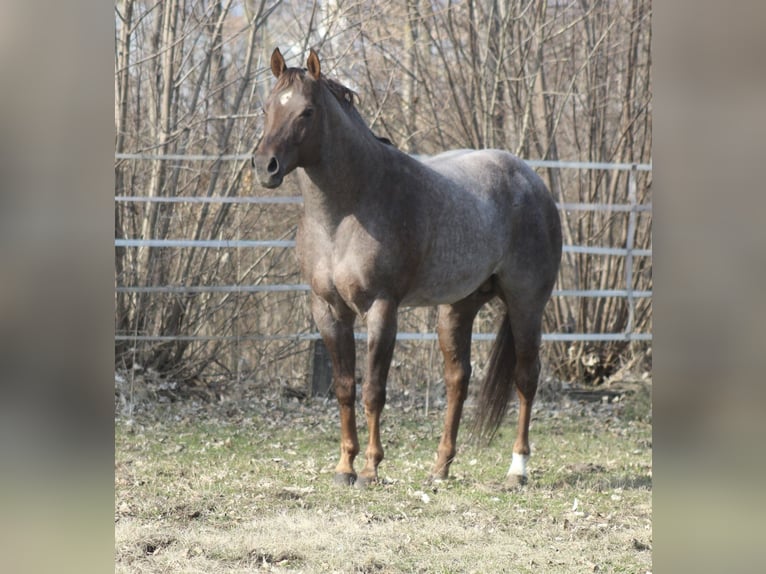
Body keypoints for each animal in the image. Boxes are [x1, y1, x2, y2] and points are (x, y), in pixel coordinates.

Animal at [253, 48, 562, 488]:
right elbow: (345, 388)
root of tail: (532, 182)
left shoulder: (382, 308)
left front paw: (370, 468)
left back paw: (517, 470)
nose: (266, 166)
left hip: (526, 303)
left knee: (526, 377)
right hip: (457, 308)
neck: (348, 209)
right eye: (266, 108)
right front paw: (344, 467)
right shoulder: (328, 309)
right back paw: (440, 467)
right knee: (458, 379)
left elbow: (373, 390)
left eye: (306, 112)